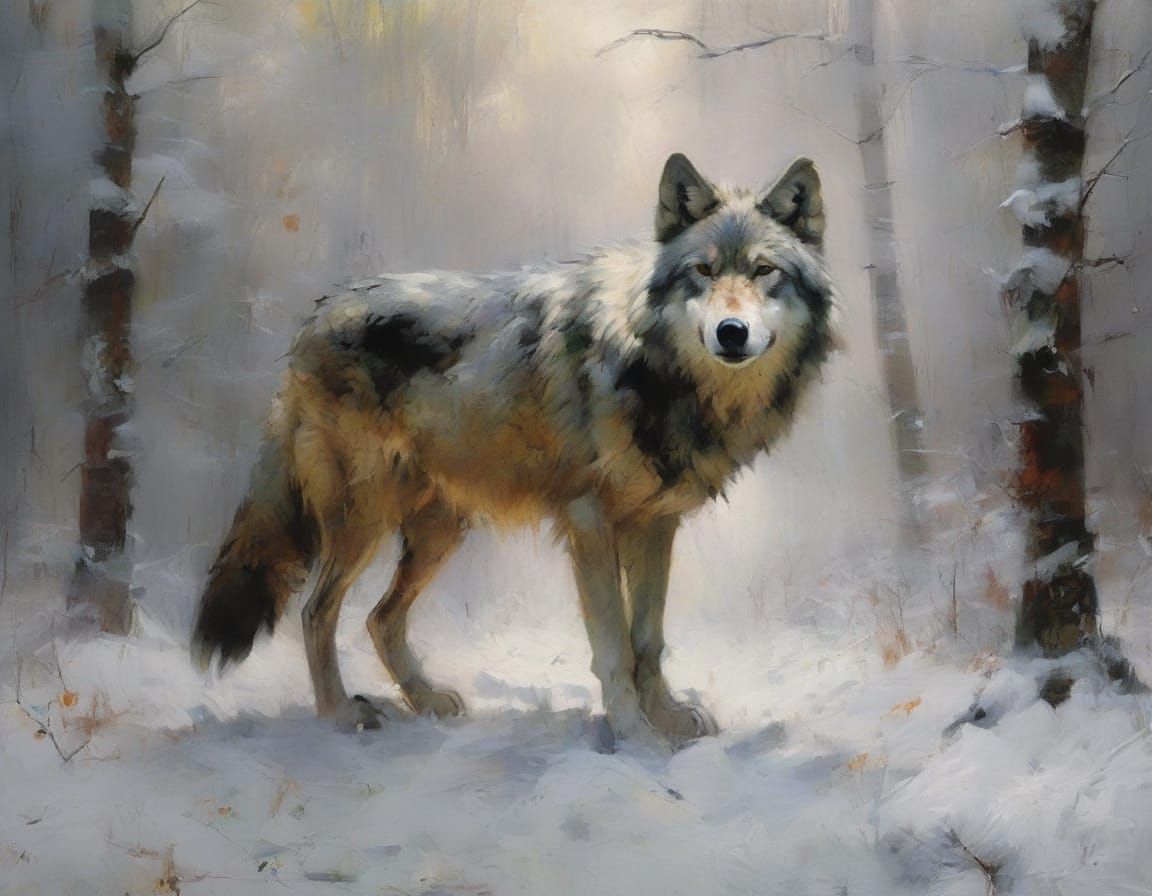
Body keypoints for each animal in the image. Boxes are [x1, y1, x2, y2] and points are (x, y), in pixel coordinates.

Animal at [192, 153, 839, 745]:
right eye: (703, 271)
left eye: (763, 272)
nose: (731, 333)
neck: (656, 370)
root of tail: (315, 318)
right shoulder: (590, 524)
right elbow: (613, 644)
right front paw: (633, 733)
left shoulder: (655, 526)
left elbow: (648, 639)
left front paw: (670, 719)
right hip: (363, 523)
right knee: (316, 611)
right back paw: (339, 715)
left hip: (438, 533)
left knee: (379, 619)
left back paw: (426, 700)